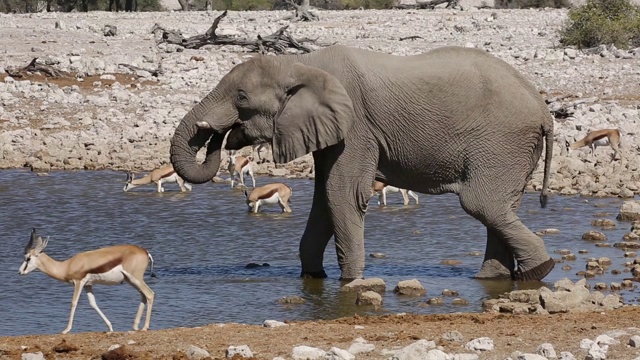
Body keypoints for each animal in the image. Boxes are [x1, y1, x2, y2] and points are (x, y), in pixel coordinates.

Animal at [18, 228, 156, 334]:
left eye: (28, 258)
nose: (20, 272)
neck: (66, 265)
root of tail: (145, 252)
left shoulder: (78, 282)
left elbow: (74, 302)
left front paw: (66, 330)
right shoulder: (88, 285)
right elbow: (93, 303)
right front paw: (110, 327)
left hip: (135, 278)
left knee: (150, 294)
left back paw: (144, 327)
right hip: (131, 281)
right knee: (143, 296)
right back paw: (135, 326)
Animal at [169, 44, 556, 282]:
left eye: (242, 98)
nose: (220, 134)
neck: (302, 63)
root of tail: (544, 110)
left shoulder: (356, 128)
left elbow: (342, 193)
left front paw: (351, 281)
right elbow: (324, 198)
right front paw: (313, 277)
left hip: (502, 141)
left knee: (481, 203)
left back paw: (540, 270)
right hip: (511, 148)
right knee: (499, 206)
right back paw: (495, 279)